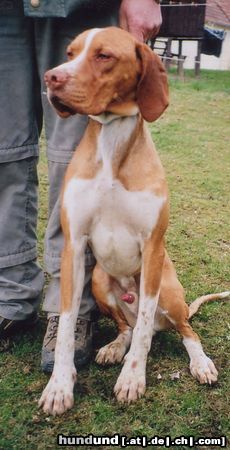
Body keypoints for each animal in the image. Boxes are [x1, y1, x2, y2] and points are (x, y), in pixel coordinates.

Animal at [39, 27, 228, 414]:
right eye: (70, 53)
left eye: (104, 55)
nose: (51, 78)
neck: (112, 147)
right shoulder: (74, 246)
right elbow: (65, 326)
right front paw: (59, 386)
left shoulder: (153, 248)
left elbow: (142, 331)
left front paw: (132, 378)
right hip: (98, 278)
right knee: (126, 327)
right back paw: (114, 347)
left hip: (168, 290)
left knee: (180, 329)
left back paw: (200, 362)